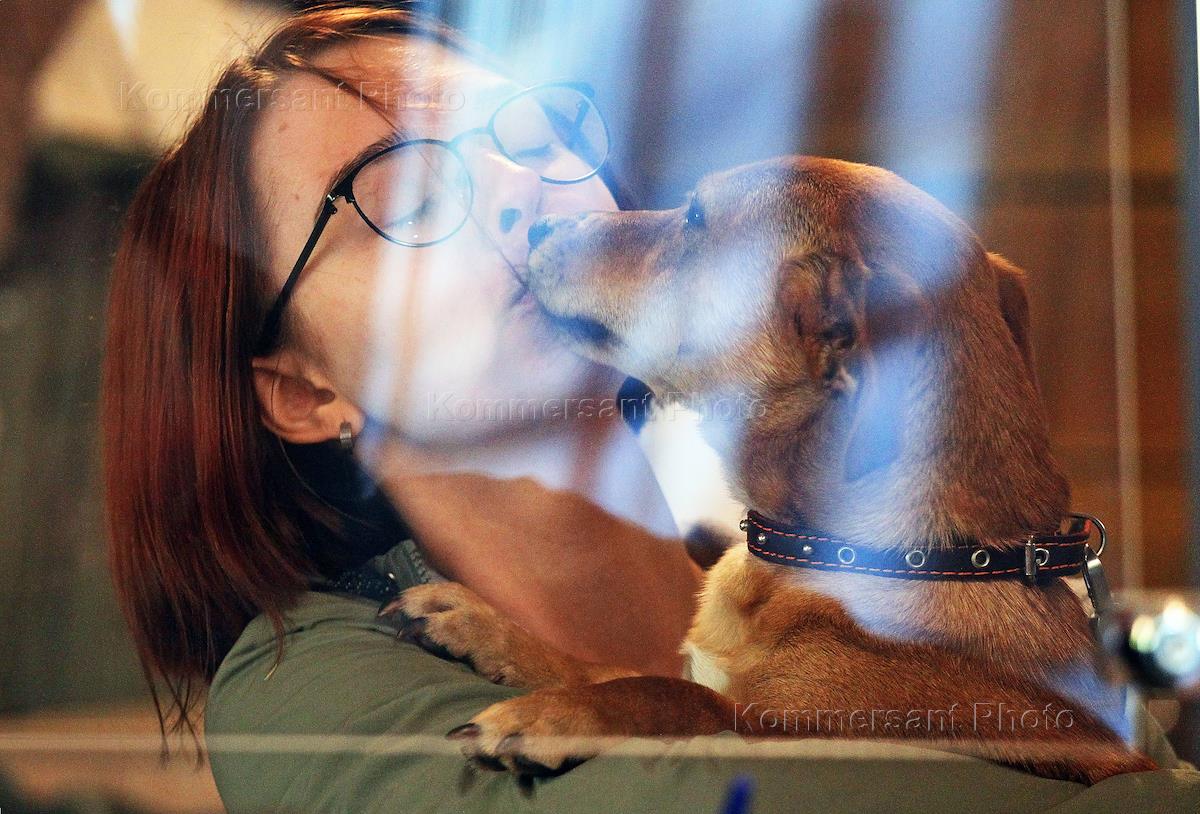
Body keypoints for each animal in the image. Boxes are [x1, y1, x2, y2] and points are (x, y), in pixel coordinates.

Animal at [383, 156, 1157, 785]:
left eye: (696, 218)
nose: (542, 226)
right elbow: (615, 663)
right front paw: (486, 628)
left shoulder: (807, 732)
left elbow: (678, 696)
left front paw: (553, 716)